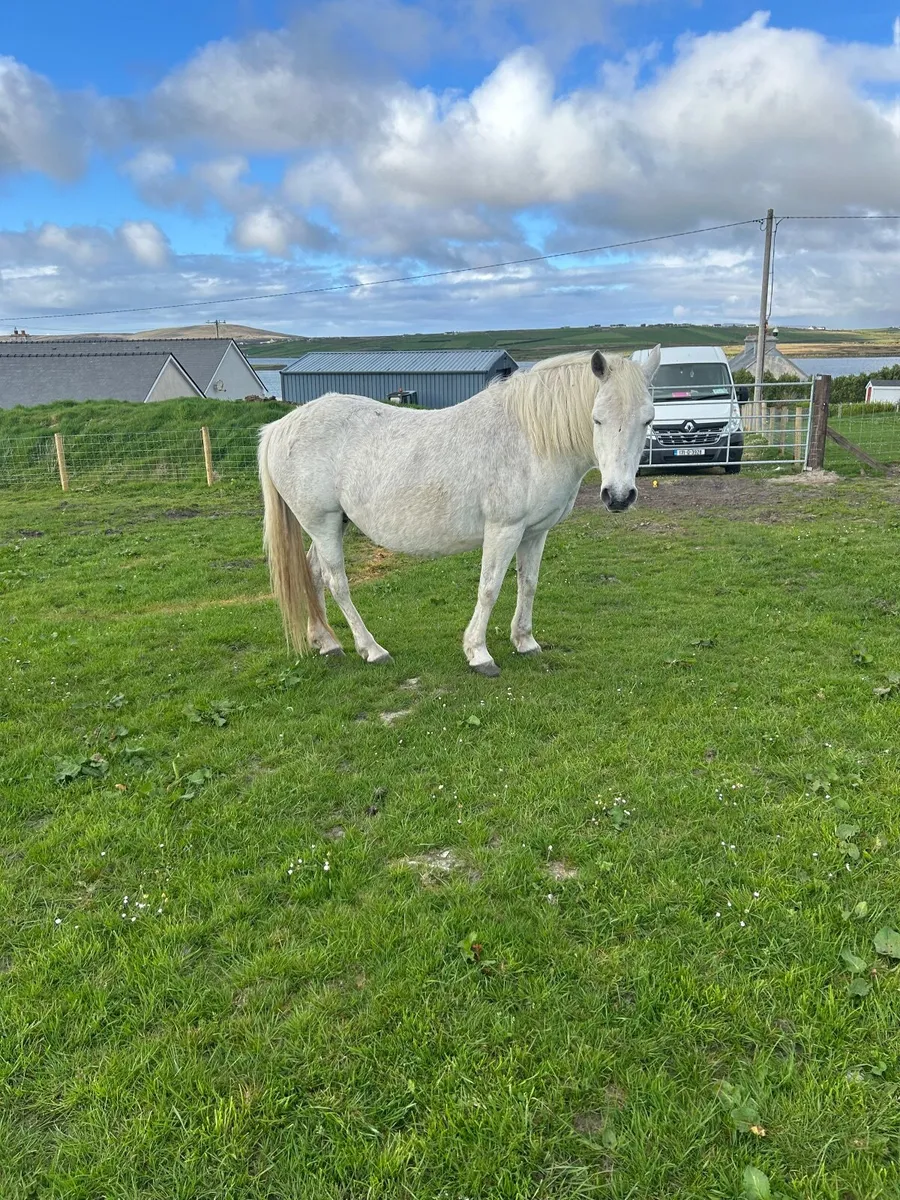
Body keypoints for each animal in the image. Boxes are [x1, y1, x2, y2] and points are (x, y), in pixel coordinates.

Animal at [258, 346, 660, 676]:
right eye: (597, 419)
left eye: (648, 419)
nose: (618, 497)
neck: (531, 439)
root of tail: (281, 426)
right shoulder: (503, 529)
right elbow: (490, 588)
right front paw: (478, 653)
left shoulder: (535, 532)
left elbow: (528, 584)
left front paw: (525, 642)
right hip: (322, 522)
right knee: (336, 581)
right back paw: (371, 649)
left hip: (332, 523)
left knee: (312, 572)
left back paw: (326, 642)